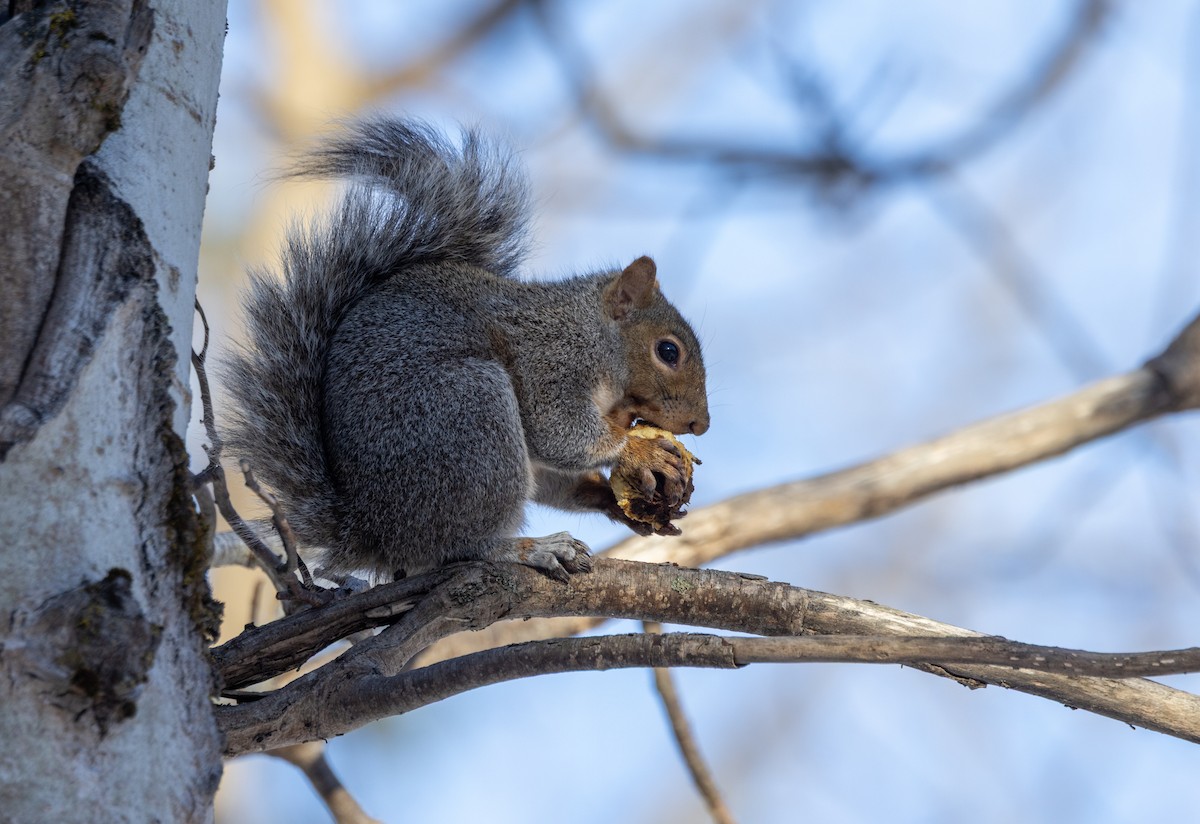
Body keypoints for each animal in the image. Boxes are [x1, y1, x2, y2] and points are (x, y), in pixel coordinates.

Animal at [223, 118, 709, 582]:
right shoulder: (550, 360)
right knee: (463, 545)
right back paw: (529, 549)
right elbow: (558, 431)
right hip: (471, 415)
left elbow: (552, 469)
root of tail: (376, 534)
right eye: (668, 351)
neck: (592, 333)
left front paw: (617, 495)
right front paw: (638, 451)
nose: (700, 425)